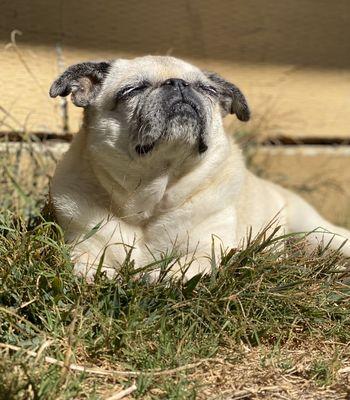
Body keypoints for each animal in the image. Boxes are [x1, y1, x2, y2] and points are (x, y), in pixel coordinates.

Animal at [48, 56, 350, 282]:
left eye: (208, 90)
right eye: (133, 90)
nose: (178, 84)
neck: (153, 199)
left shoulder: (212, 245)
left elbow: (194, 261)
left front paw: (167, 274)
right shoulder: (81, 241)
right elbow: (79, 259)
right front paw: (95, 273)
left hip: (317, 231)